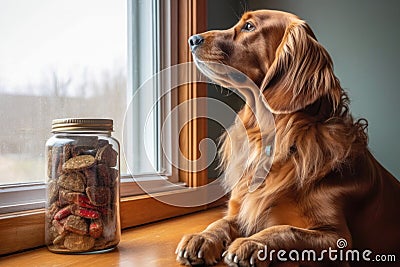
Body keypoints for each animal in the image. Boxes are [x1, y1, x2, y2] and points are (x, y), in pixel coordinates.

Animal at [176, 9, 400, 266]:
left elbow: (286, 230)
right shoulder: (241, 208)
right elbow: (220, 222)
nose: (192, 40)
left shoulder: (337, 238)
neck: (278, 135)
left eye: (249, 26)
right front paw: (202, 237)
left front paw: (252, 243)